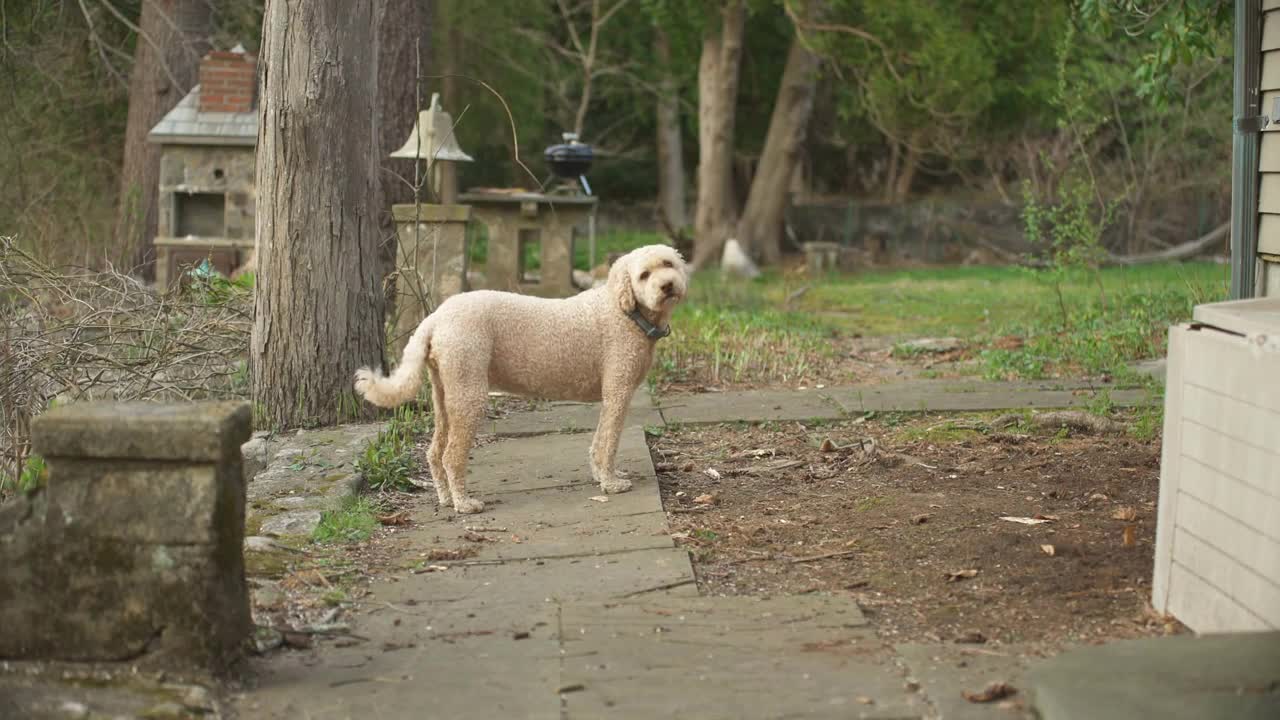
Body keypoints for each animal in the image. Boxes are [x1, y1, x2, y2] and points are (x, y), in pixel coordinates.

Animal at [350, 243, 691, 512]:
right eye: (644, 275)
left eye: (668, 264)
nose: (667, 286)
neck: (624, 310)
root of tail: (435, 318)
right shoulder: (618, 391)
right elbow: (609, 442)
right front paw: (611, 483)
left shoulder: (609, 398)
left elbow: (598, 441)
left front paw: (599, 476)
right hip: (470, 393)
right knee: (451, 455)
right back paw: (464, 504)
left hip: (445, 395)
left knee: (434, 453)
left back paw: (446, 499)